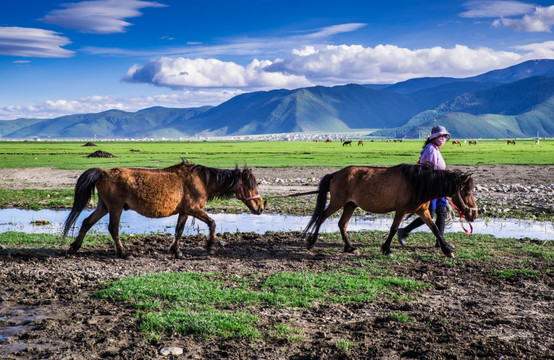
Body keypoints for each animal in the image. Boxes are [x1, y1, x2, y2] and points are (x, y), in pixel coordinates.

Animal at [62, 162, 264, 258]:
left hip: (104, 207)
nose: (260, 208)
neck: (203, 181)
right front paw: (210, 247)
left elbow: (179, 230)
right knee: (113, 229)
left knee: (86, 223)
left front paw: (176, 251)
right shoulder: (194, 209)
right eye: (251, 185)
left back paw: (74, 248)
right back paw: (124, 253)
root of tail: (103, 172)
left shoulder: (185, 211)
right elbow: (212, 223)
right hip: (115, 208)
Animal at [302, 163, 474, 258]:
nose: (473, 214)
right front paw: (387, 250)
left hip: (350, 205)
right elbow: (394, 228)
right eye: (467, 193)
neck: (418, 183)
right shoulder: (401, 210)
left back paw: (350, 248)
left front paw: (447, 251)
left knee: (342, 224)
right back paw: (311, 243)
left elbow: (436, 229)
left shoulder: (423, 212)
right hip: (337, 202)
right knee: (322, 217)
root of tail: (336, 174)